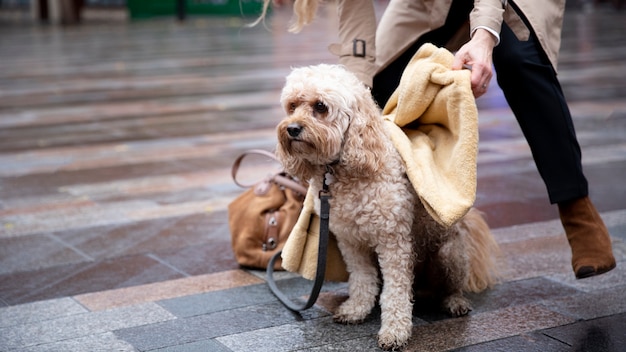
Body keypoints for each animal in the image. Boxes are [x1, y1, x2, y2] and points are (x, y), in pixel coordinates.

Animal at [272, 64, 498, 350]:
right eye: (292, 106)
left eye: (320, 106)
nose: (291, 128)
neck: (345, 172)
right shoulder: (351, 242)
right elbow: (362, 279)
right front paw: (356, 309)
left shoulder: (393, 243)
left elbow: (396, 293)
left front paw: (395, 331)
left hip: (450, 254)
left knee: (451, 286)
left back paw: (455, 302)